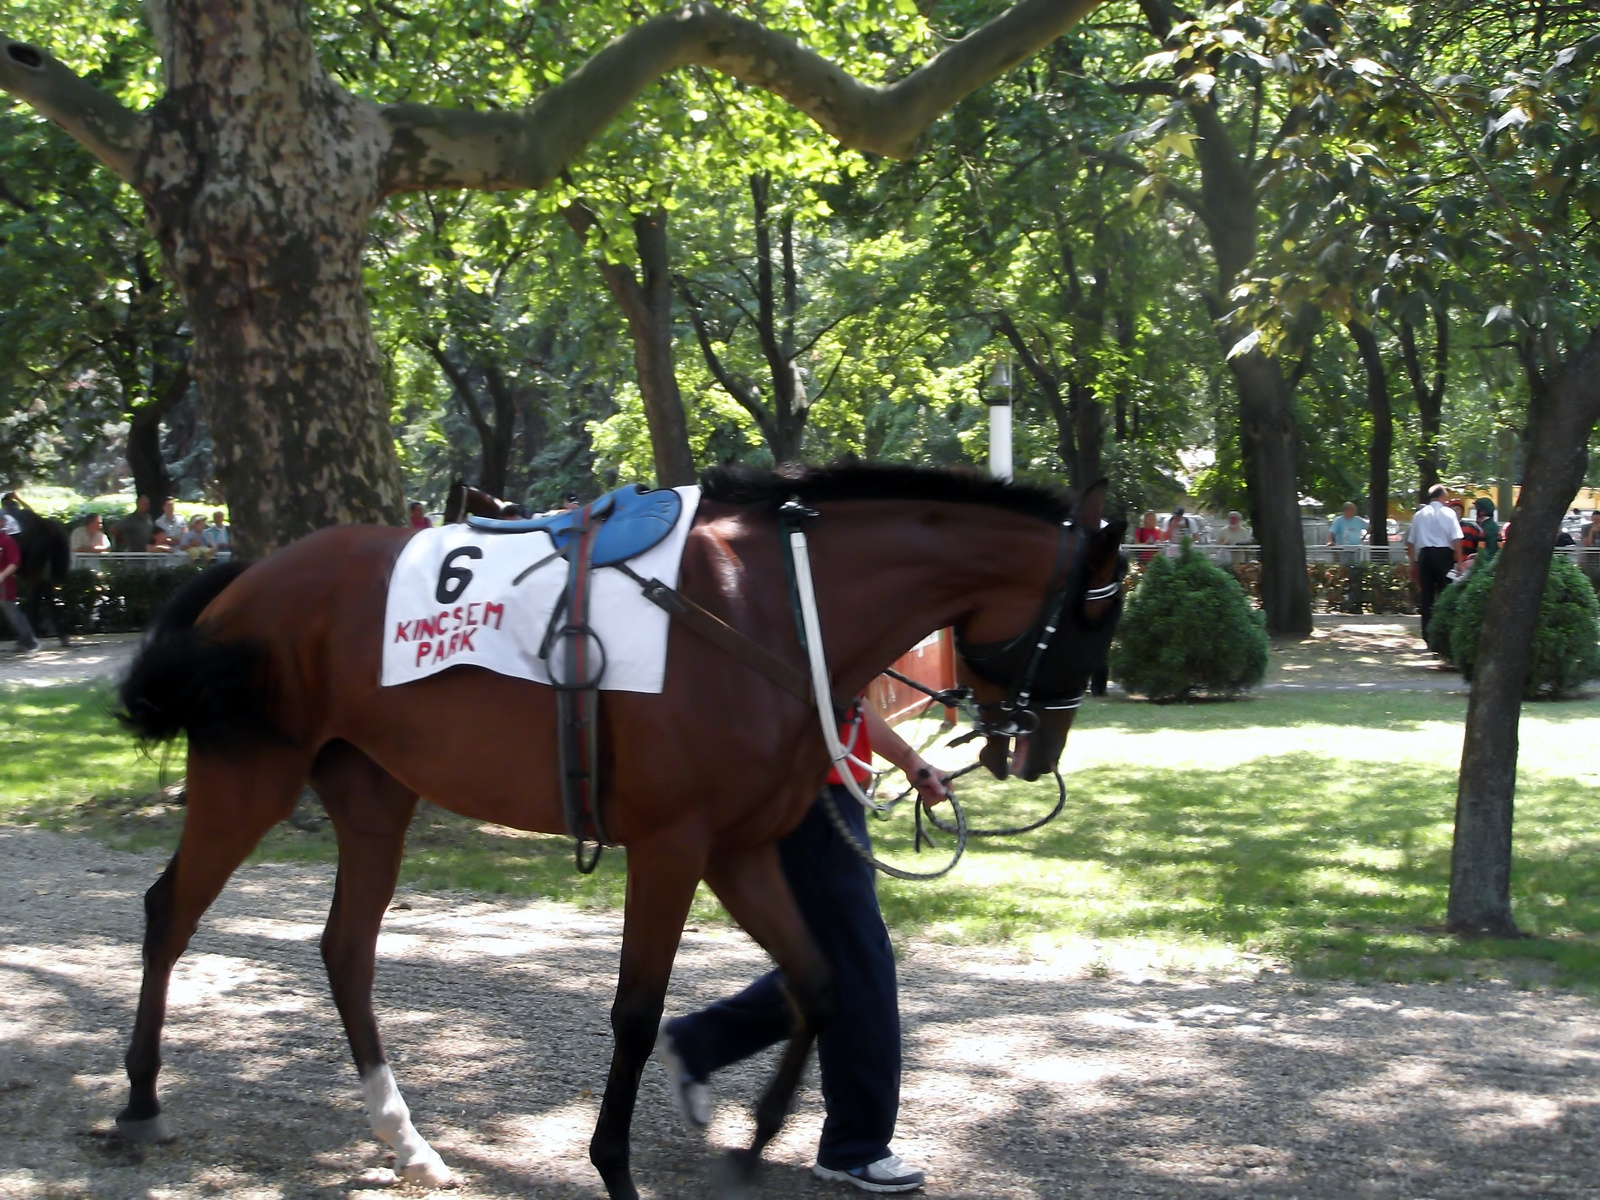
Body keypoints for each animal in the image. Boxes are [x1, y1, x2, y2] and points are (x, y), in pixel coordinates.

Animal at [116, 464, 1126, 1196]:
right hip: (249, 776)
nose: (1040, 746)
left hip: (374, 797)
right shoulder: (674, 847)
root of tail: (248, 578)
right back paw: (139, 1100)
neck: (765, 607)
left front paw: (755, 1145)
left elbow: (820, 983)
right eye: (1100, 605)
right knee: (170, 912)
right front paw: (614, 1165)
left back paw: (407, 1142)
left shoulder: (742, 849)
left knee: (344, 951)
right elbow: (637, 1015)